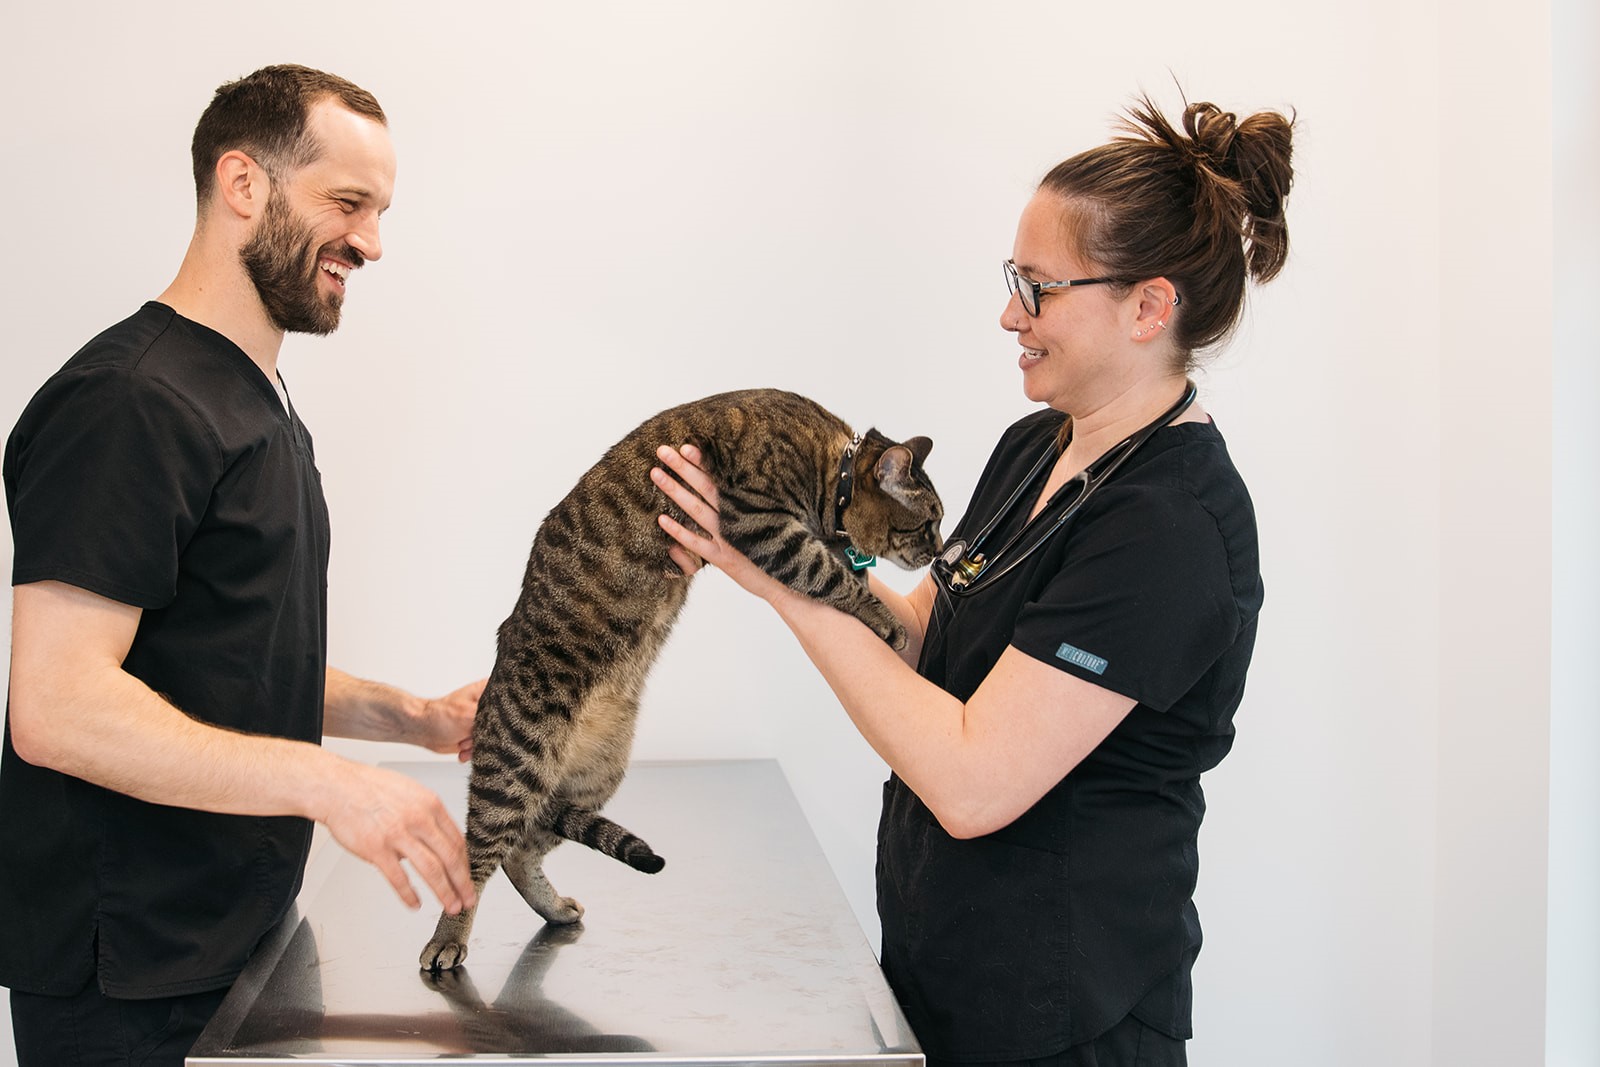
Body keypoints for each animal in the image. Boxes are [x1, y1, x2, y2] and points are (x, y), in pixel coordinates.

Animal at [419, 388, 940, 972]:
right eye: (927, 523)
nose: (940, 552)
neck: (832, 472)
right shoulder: (760, 523)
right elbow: (830, 577)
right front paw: (884, 619)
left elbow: (842, 572)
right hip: (516, 767)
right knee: (478, 858)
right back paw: (448, 937)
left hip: (595, 776)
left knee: (522, 849)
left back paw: (552, 907)